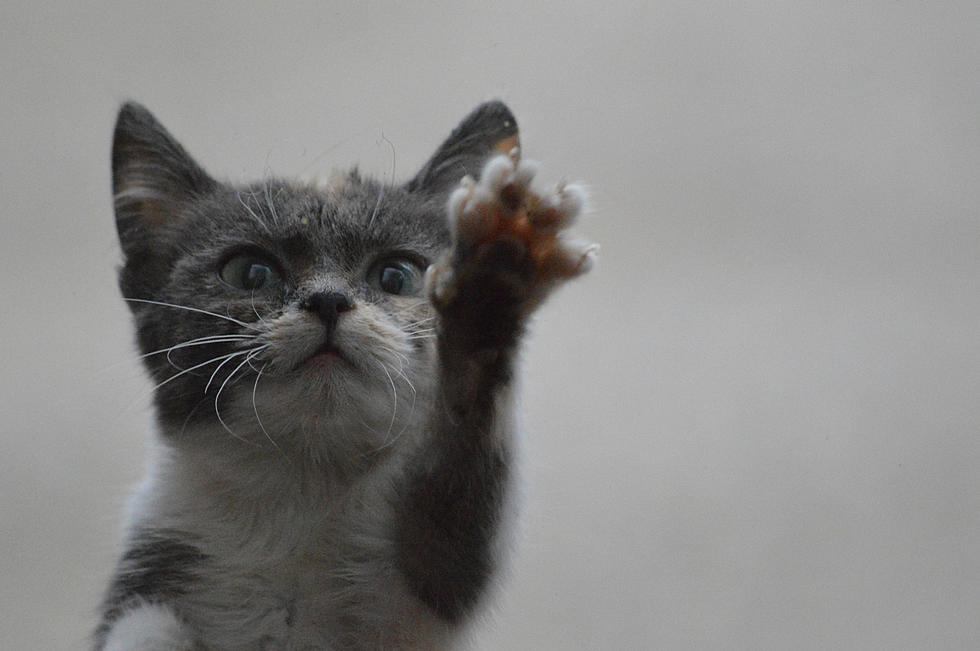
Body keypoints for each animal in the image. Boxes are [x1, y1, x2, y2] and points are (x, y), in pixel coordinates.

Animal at [95, 99, 592, 648]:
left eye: (397, 275)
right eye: (250, 272)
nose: (328, 300)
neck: (304, 483)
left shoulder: (418, 589)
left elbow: (451, 528)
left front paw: (492, 279)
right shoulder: (159, 550)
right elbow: (146, 625)